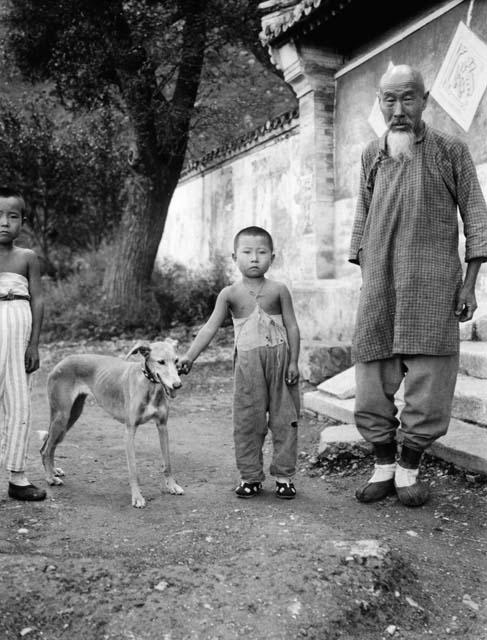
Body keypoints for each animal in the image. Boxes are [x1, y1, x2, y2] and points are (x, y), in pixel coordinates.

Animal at [40, 338, 184, 508]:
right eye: (161, 362)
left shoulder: (162, 427)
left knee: (50, 445)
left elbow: (167, 462)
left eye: (176, 361)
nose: (177, 385)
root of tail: (61, 362)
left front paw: (172, 486)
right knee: (45, 449)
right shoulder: (129, 431)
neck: (149, 385)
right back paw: (50, 478)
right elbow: (133, 470)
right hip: (61, 417)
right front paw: (137, 497)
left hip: (71, 417)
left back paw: (53, 471)